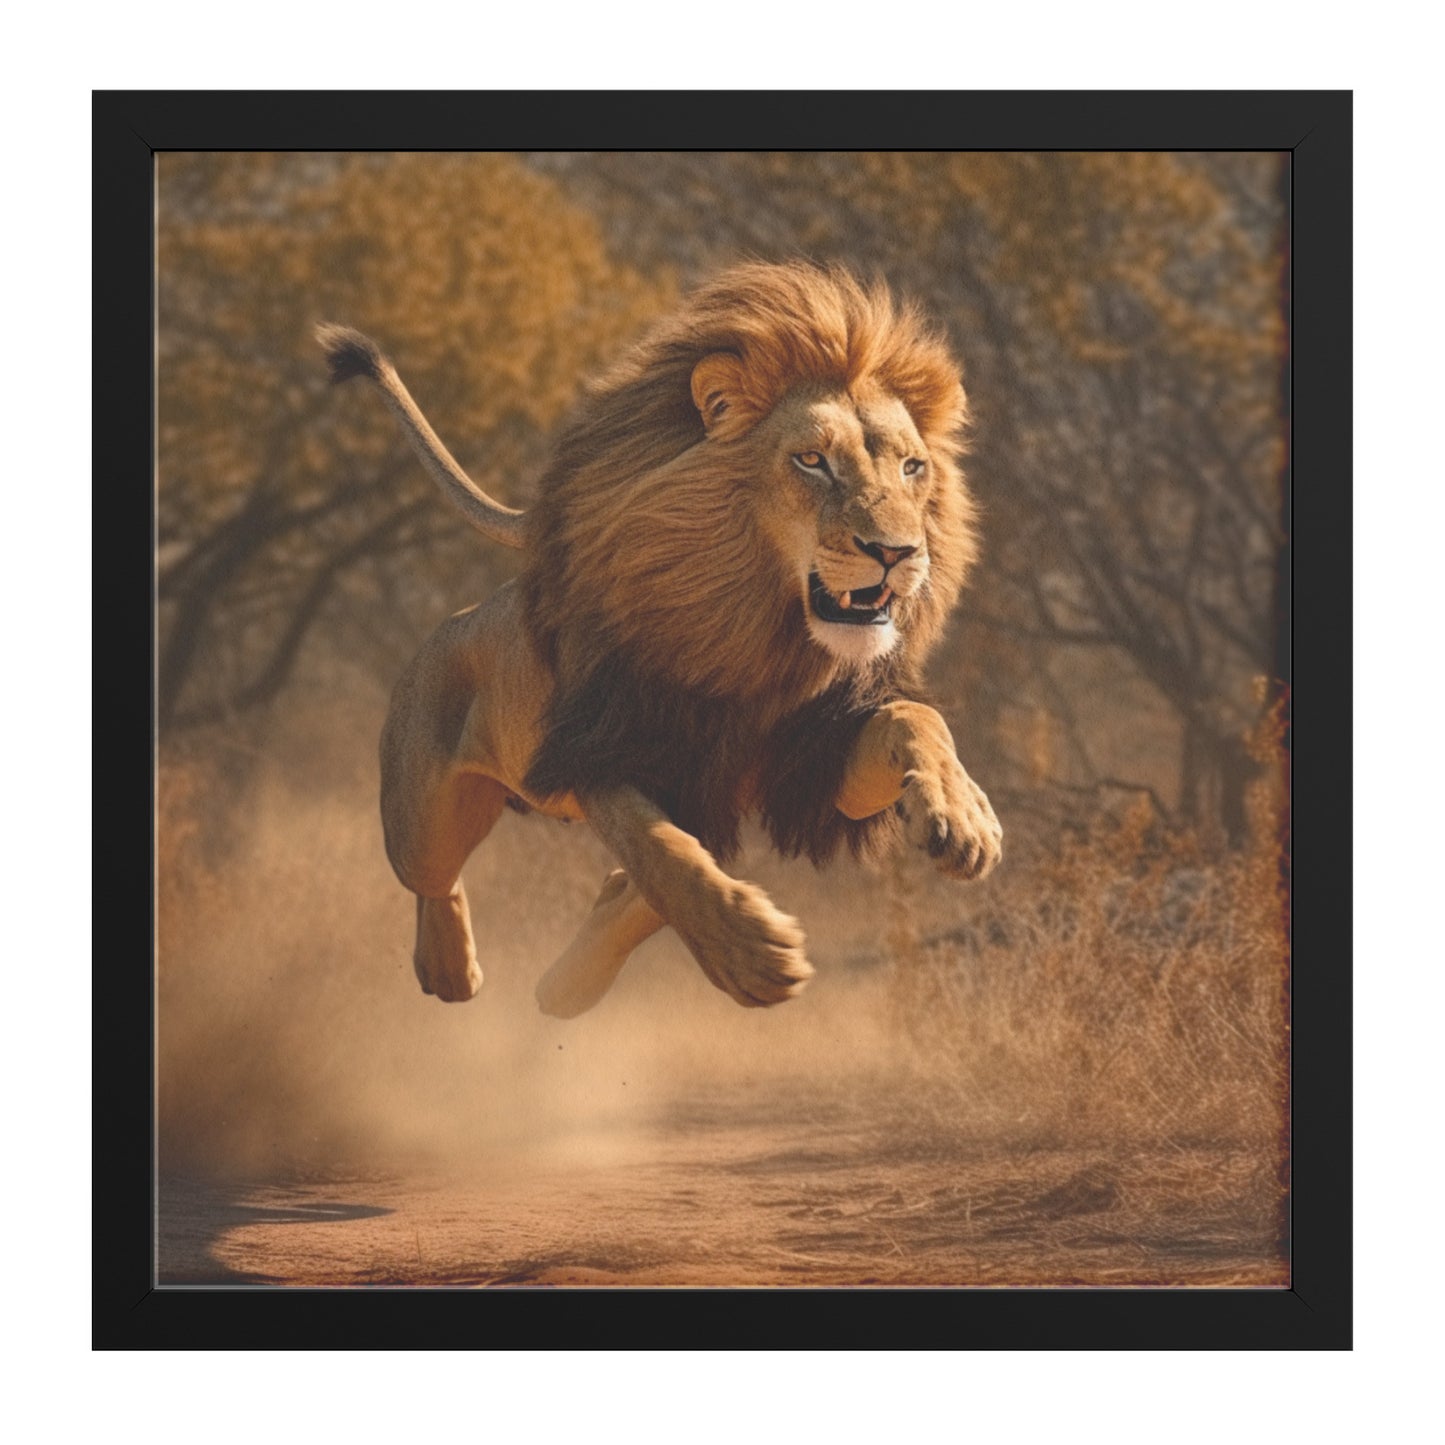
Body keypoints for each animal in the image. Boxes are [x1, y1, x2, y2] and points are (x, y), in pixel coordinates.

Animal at [317, 261, 1001, 1018]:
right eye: (811, 461)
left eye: (912, 468)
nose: (897, 552)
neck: (760, 643)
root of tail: (460, 616)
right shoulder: (604, 748)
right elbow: (658, 849)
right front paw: (749, 955)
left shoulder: (817, 753)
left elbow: (915, 717)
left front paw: (964, 818)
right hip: (423, 818)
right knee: (433, 879)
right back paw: (450, 969)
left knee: (638, 879)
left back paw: (569, 980)